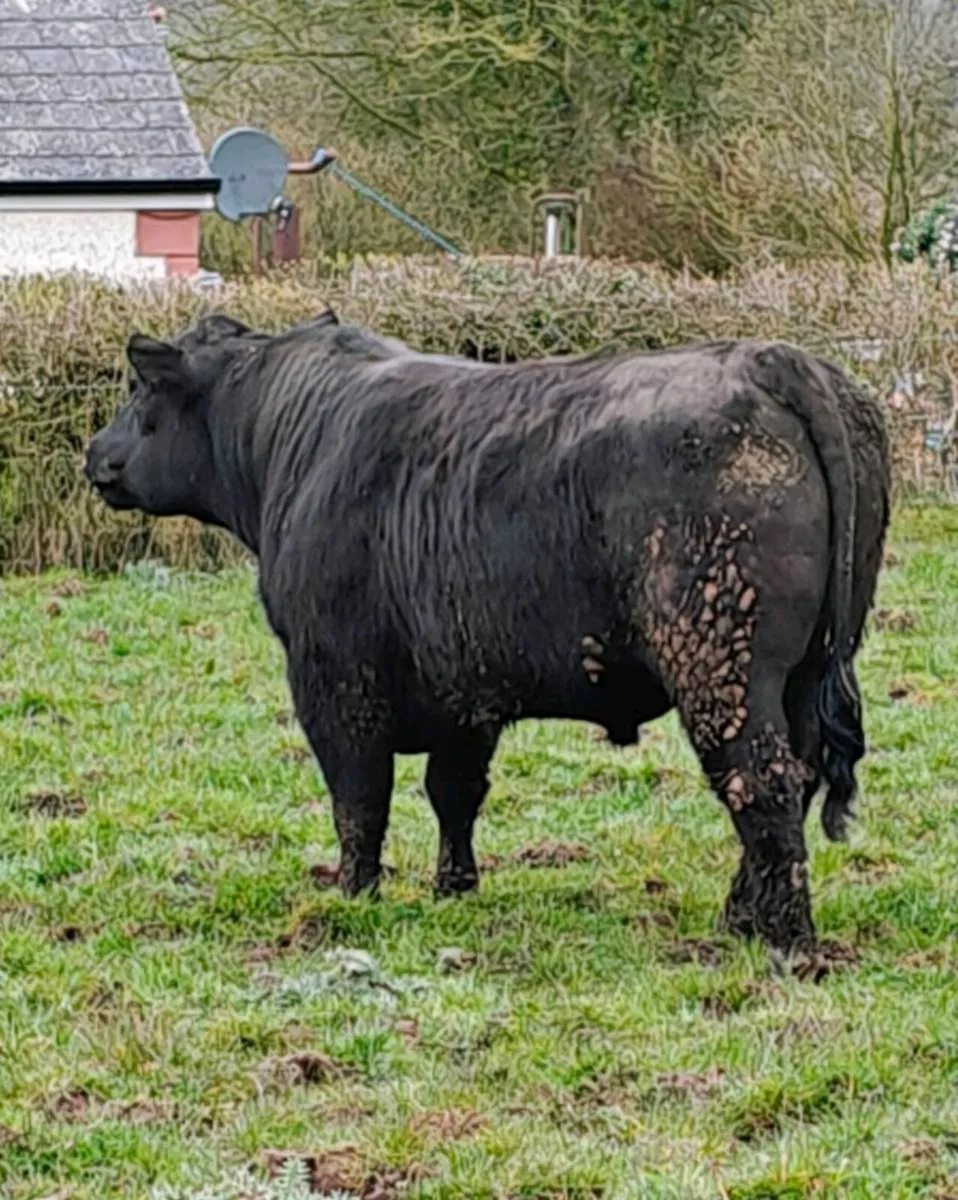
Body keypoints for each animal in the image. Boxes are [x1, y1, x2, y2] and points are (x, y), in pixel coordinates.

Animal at [84, 310, 890, 962]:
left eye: (138, 390)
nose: (95, 452)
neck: (297, 435)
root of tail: (769, 358)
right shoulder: (465, 689)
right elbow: (455, 792)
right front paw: (455, 888)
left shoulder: (334, 680)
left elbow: (359, 799)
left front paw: (353, 895)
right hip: (806, 673)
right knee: (795, 775)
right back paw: (739, 918)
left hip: (723, 666)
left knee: (763, 782)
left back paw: (784, 941)